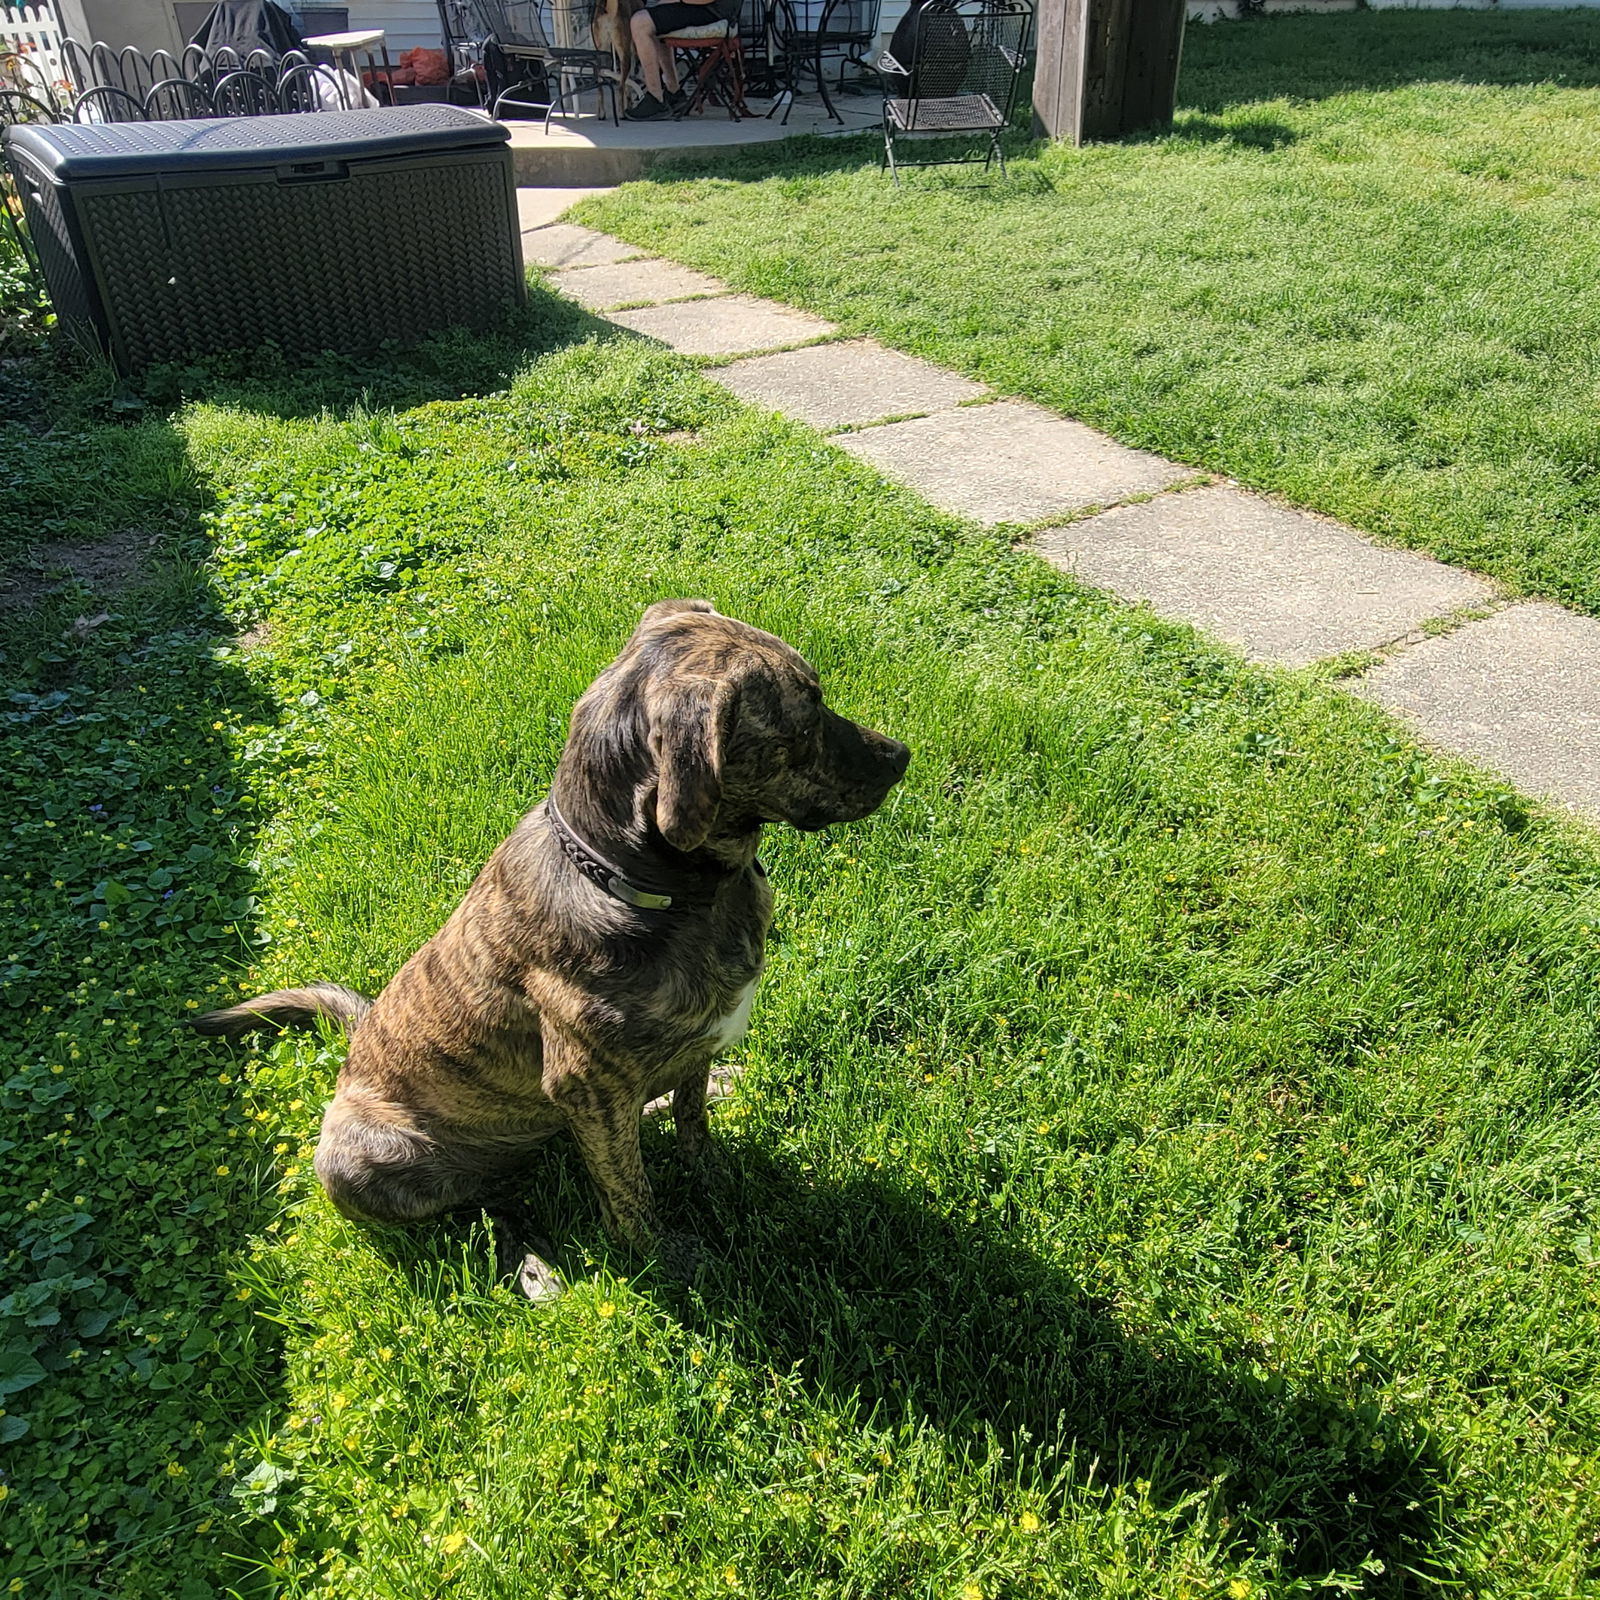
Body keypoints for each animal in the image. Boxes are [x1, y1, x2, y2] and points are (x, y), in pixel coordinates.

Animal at [190, 604, 915, 1292]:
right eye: (808, 710)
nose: (902, 755)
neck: (647, 885)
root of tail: (354, 1044)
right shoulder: (586, 1089)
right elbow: (630, 1196)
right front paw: (666, 1256)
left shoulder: (683, 1051)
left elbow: (691, 1116)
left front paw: (711, 1168)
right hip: (360, 1158)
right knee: (480, 1211)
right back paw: (533, 1270)